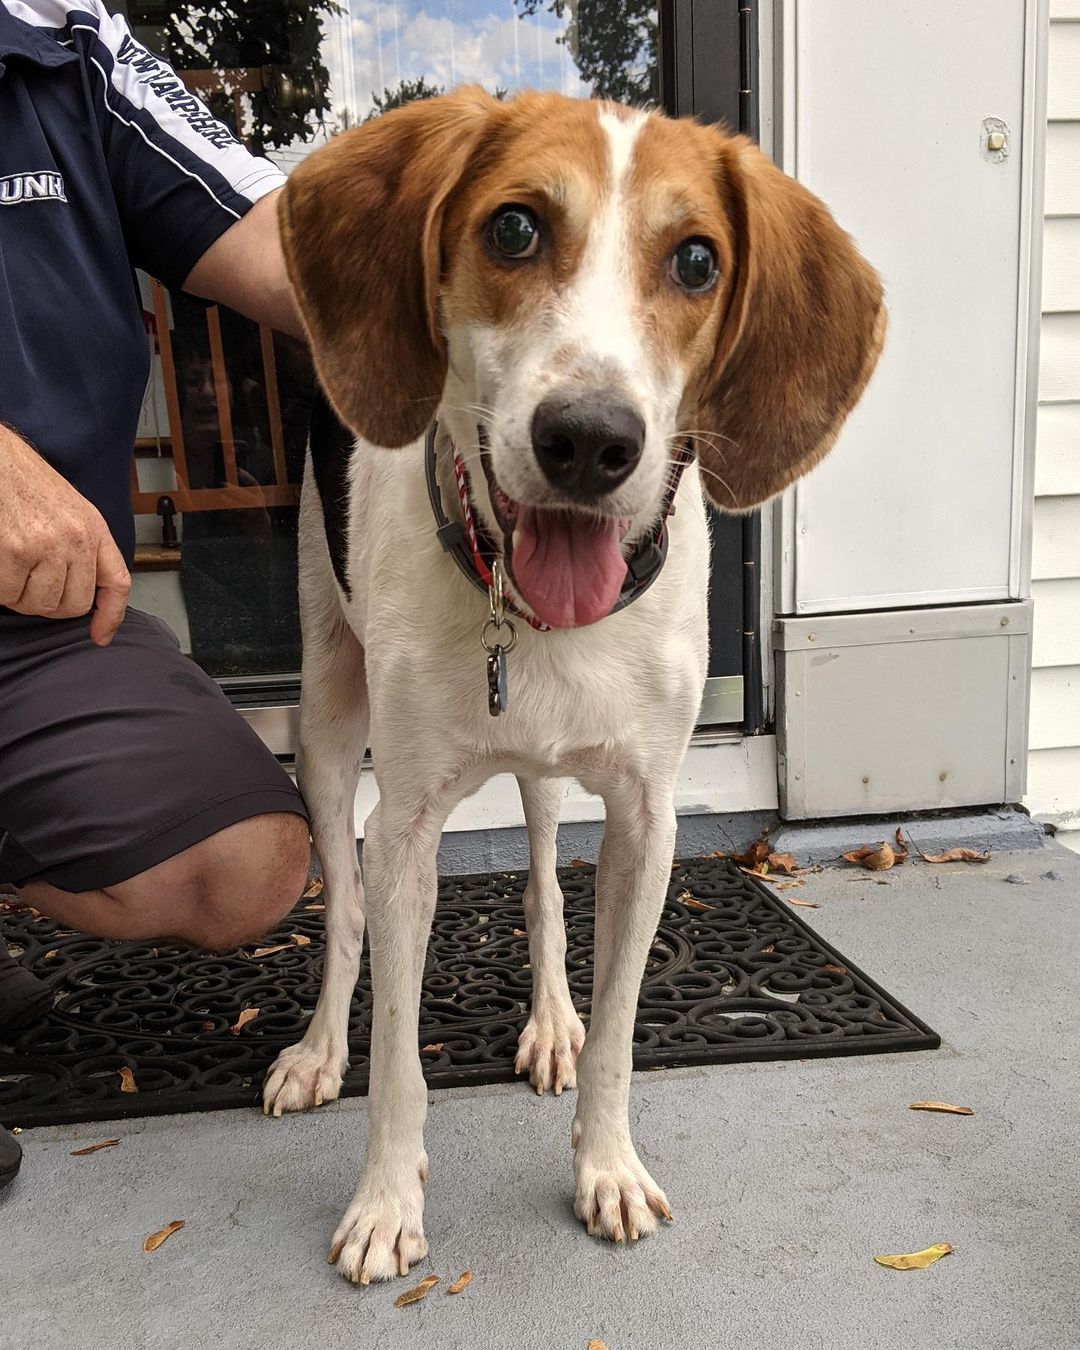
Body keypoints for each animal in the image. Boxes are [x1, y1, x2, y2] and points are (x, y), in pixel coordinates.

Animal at [261, 87, 885, 1285]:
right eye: (513, 228)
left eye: (697, 260)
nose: (591, 441)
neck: (536, 617)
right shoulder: (403, 827)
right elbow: (398, 1050)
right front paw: (384, 1200)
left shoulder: (647, 817)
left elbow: (621, 1027)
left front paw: (605, 1165)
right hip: (323, 714)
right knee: (345, 912)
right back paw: (318, 1048)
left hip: (545, 777)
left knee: (548, 884)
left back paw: (551, 1019)